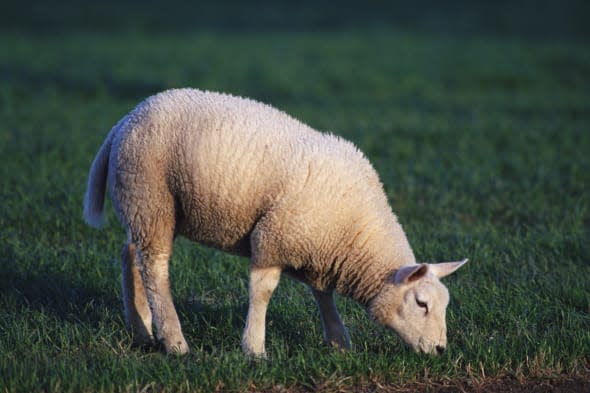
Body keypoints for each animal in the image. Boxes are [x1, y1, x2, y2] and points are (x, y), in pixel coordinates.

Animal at [84, 88, 472, 356]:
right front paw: (254, 348)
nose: (441, 350)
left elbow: (322, 293)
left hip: (142, 205)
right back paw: (174, 340)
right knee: (155, 269)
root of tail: (126, 119)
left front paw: (338, 341)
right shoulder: (274, 237)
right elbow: (263, 291)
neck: (356, 236)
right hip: (151, 196)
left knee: (131, 256)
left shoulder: (316, 247)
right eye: (421, 304)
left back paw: (141, 329)